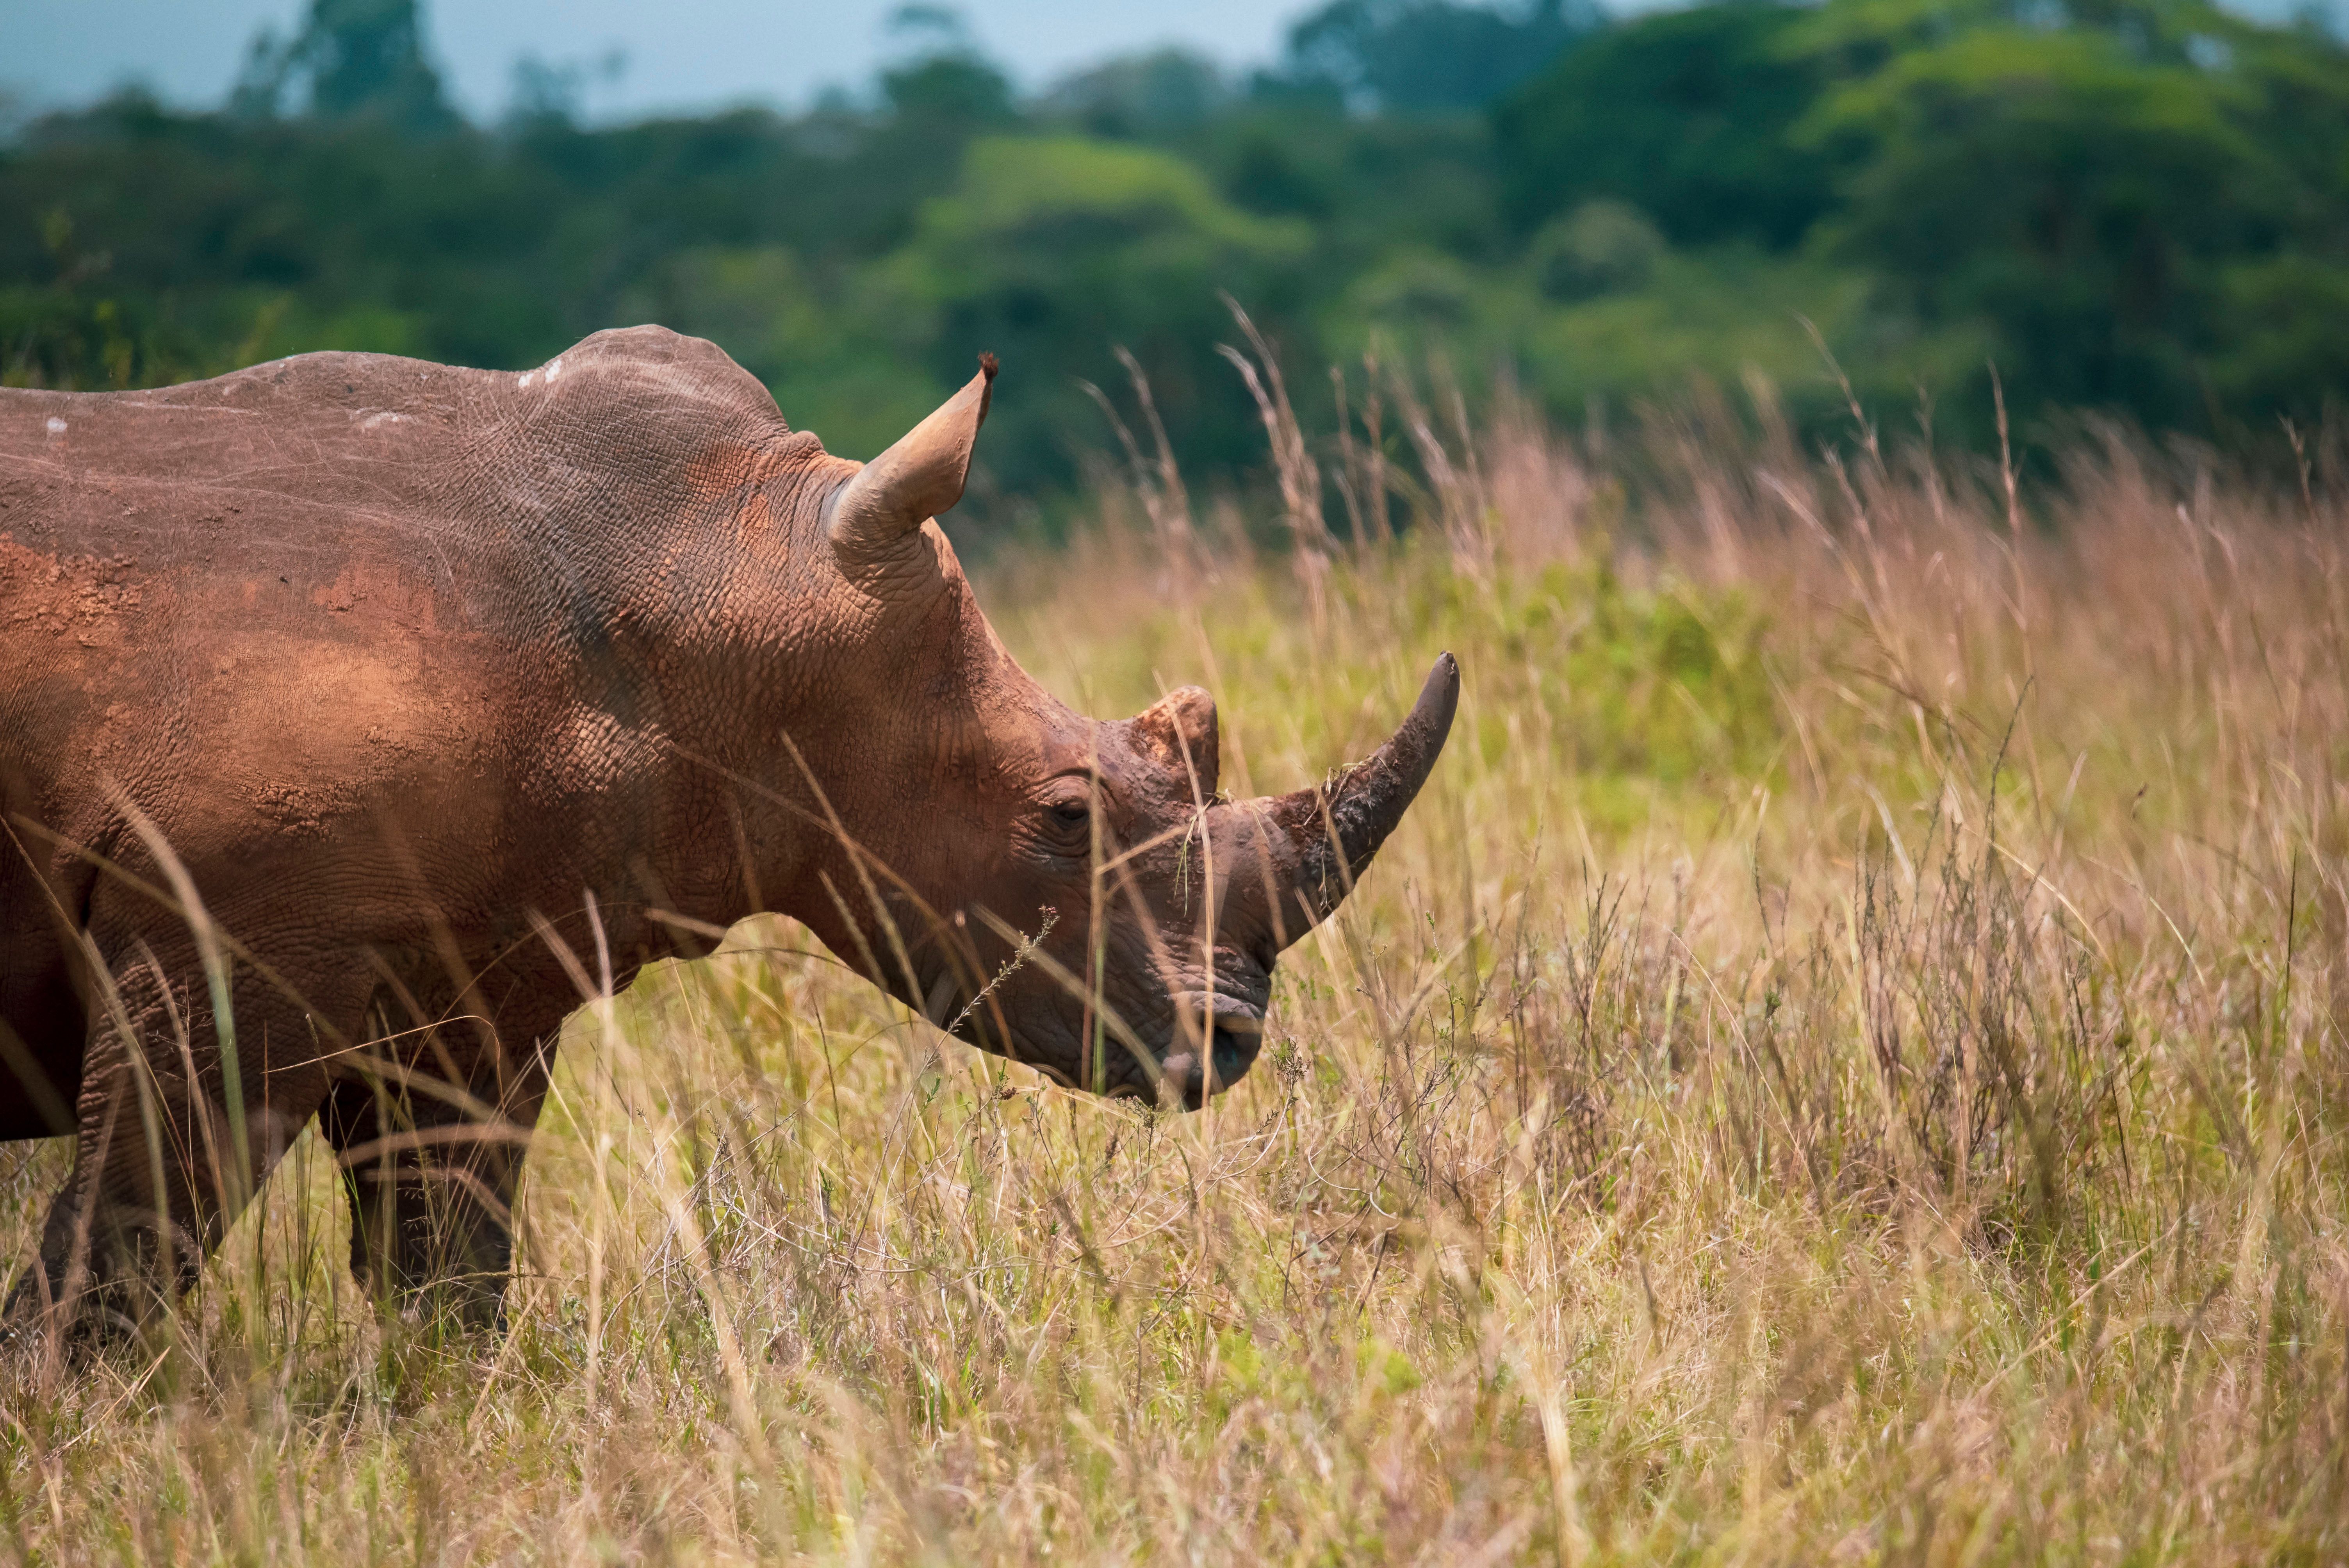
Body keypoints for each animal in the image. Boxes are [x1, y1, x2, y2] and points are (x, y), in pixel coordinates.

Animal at [0, 327, 1456, 1336]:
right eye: (1063, 815)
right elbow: (117, 1258)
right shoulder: (222, 941)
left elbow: (445, 1274)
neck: (721, 573)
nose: (1232, 1041)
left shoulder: (468, 979)